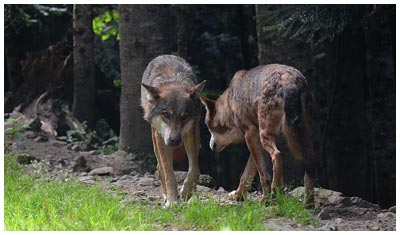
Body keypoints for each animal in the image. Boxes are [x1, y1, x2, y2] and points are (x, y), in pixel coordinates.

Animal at [141, 54, 206, 207]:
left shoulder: (192, 132)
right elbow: (168, 171)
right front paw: (172, 201)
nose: (174, 140)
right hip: (156, 136)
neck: (174, 82)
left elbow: (195, 169)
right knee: (159, 168)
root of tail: (165, 55)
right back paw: (165, 195)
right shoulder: (161, 138)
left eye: (184, 117)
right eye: (165, 114)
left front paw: (186, 192)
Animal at [202, 63, 318, 207]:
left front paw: (264, 199)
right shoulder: (255, 140)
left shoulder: (250, 134)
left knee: (277, 155)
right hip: (303, 136)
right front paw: (238, 195)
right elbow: (246, 175)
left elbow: (262, 174)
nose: (211, 146)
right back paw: (309, 204)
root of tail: (288, 80)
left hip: (267, 136)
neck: (230, 102)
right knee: (310, 166)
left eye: (209, 128)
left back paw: (275, 192)